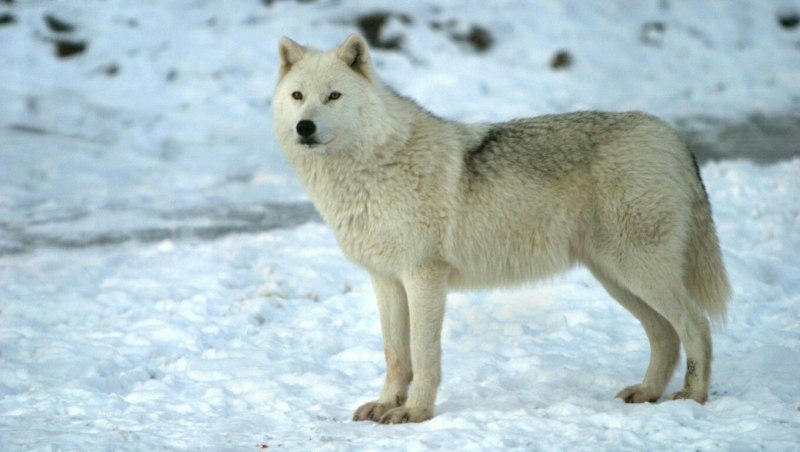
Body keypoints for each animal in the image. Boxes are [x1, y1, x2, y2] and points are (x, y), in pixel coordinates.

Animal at [272, 34, 731, 424]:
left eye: (333, 96)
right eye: (298, 96)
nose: (305, 127)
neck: (372, 167)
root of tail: (671, 136)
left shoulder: (424, 278)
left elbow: (423, 355)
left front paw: (415, 413)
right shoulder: (386, 281)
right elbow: (395, 355)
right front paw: (386, 405)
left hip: (638, 272)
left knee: (697, 326)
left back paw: (691, 398)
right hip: (617, 279)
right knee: (665, 335)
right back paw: (648, 393)